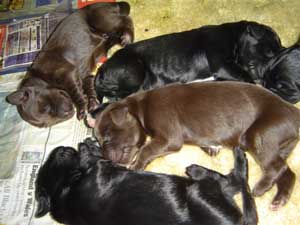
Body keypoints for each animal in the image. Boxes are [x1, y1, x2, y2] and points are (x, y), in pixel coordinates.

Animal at [4, 1, 134, 127]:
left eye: (46, 107)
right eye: (47, 124)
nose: (67, 114)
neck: (40, 77)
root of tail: (113, 4)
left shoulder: (67, 74)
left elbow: (75, 92)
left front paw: (81, 108)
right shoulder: (85, 75)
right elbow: (89, 88)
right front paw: (91, 103)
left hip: (102, 19)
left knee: (125, 20)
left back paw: (127, 37)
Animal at [34, 138, 256, 225]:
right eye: (59, 156)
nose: (62, 149)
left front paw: (89, 145)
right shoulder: (101, 170)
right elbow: (97, 160)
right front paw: (87, 148)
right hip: (200, 195)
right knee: (234, 180)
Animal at [91, 81, 300, 211]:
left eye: (107, 137)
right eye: (98, 141)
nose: (105, 157)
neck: (141, 107)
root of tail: (294, 113)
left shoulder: (169, 136)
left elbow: (145, 150)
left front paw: (135, 166)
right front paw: (211, 148)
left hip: (260, 135)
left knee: (277, 168)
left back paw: (260, 188)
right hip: (281, 146)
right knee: (287, 172)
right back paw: (279, 200)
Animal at [94, 20, 282, 101]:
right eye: (269, 52)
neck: (235, 36)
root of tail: (101, 70)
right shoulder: (222, 63)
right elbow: (247, 79)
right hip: (134, 70)